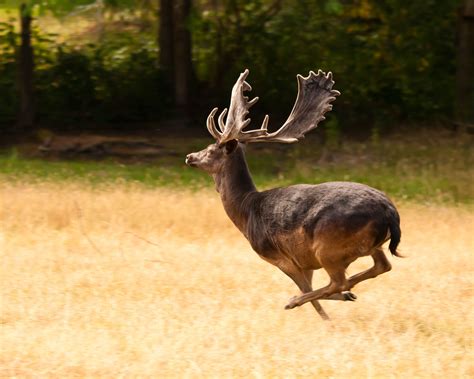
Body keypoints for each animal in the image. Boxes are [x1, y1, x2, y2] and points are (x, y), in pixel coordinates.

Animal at [185, 69, 400, 320]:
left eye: (211, 149)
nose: (190, 156)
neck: (246, 211)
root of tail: (390, 213)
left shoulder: (280, 256)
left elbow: (308, 291)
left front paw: (318, 312)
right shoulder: (305, 262)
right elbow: (311, 287)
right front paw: (344, 298)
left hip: (328, 246)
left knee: (338, 281)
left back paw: (296, 302)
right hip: (368, 246)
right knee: (381, 266)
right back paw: (347, 291)